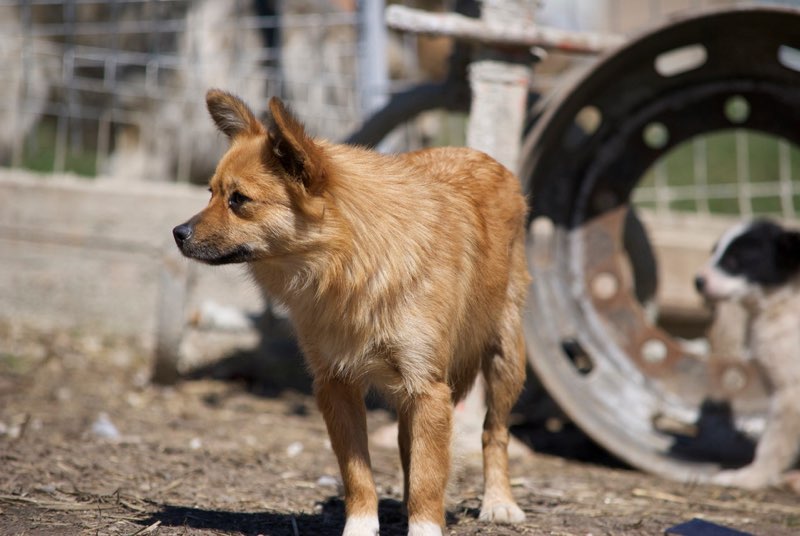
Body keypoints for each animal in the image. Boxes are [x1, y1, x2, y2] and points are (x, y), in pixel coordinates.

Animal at [172, 89, 528, 536]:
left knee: (494, 433)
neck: (347, 267)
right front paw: (361, 525)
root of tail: (482, 156)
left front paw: (425, 525)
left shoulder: (427, 387)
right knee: (408, 445)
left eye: (239, 200)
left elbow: (429, 477)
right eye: (211, 193)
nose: (177, 233)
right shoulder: (337, 387)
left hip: (505, 360)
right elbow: (358, 473)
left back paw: (499, 502)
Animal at [692, 220, 800, 488]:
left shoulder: (791, 392)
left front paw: (751, 477)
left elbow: (773, 442)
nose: (697, 281)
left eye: (734, 260)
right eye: (714, 252)